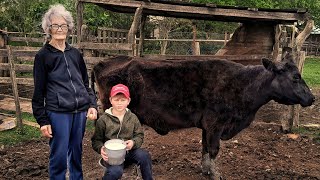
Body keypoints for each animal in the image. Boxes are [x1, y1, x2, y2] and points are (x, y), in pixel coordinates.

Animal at [91, 48, 314, 179]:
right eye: (295, 77)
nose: (312, 98)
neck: (243, 85)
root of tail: (104, 62)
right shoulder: (216, 124)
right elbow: (214, 149)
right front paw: (215, 174)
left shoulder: (208, 127)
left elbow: (205, 148)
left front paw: (206, 169)